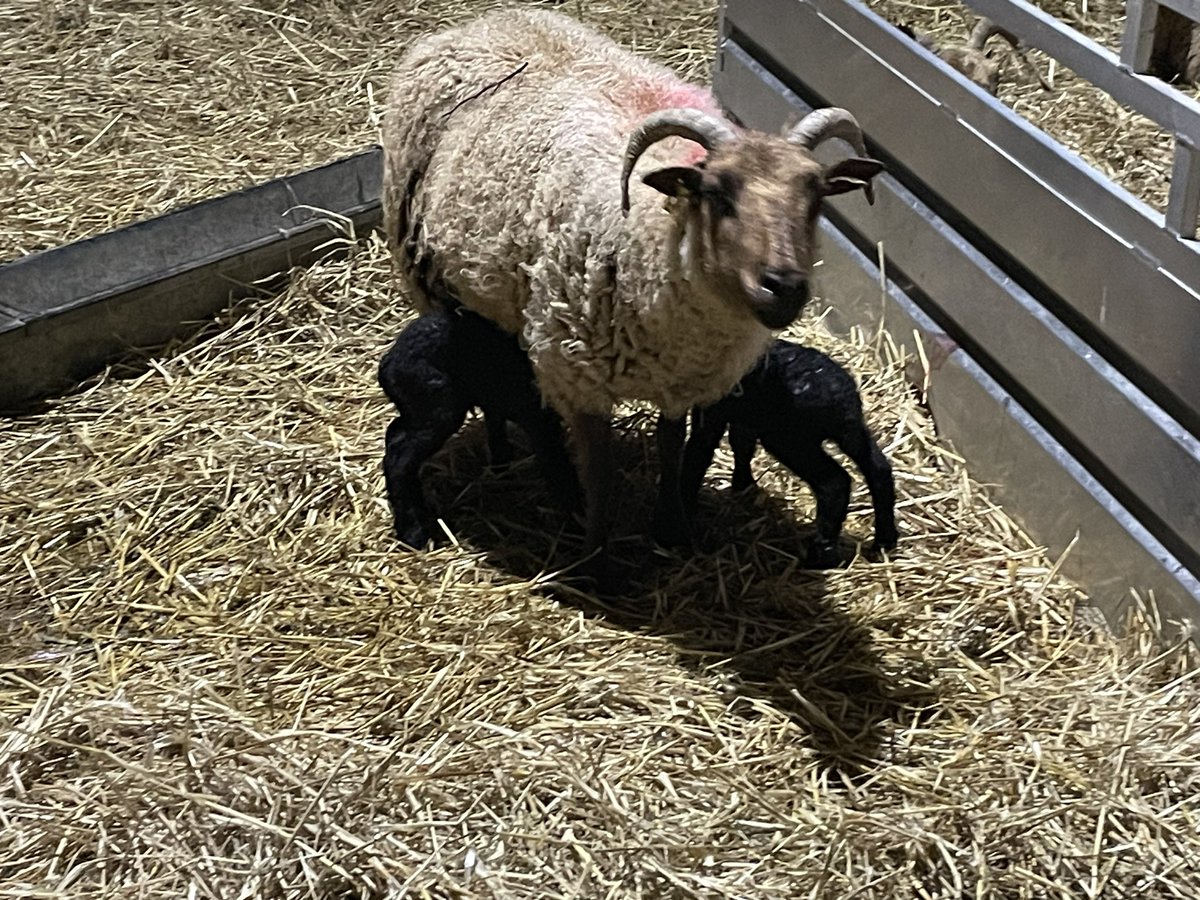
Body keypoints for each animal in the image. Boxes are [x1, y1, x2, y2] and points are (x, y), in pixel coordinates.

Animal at [374, 309, 580, 549]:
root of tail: (388, 362)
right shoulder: (540, 420)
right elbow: (559, 468)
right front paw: (576, 524)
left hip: (418, 408)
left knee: (394, 434)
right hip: (437, 407)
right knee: (399, 458)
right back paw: (413, 532)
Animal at [681, 340, 897, 566]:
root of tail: (839, 395)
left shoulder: (715, 411)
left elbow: (700, 452)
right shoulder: (744, 415)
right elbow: (740, 443)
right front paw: (744, 485)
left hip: (790, 440)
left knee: (834, 481)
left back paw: (821, 556)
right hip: (851, 431)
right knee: (878, 468)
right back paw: (884, 541)